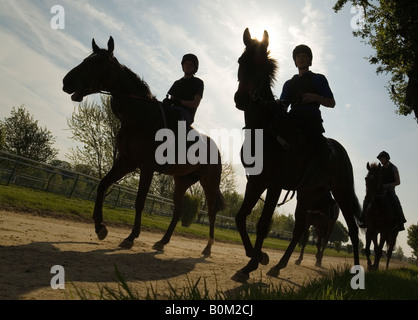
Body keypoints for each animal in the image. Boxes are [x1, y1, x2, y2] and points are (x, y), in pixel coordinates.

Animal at [61, 36, 224, 255]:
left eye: (98, 62)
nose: (67, 82)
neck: (139, 118)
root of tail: (216, 149)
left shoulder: (146, 168)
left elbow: (140, 202)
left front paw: (131, 237)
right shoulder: (126, 162)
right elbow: (102, 185)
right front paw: (100, 227)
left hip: (209, 183)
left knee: (212, 212)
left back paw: (207, 248)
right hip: (181, 181)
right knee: (177, 211)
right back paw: (162, 242)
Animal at [230, 28, 360, 282]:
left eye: (262, 65)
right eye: (241, 61)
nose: (241, 99)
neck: (267, 129)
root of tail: (341, 152)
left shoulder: (274, 185)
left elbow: (263, 224)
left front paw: (252, 264)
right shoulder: (256, 182)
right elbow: (241, 217)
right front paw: (258, 257)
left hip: (342, 192)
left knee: (354, 229)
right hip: (308, 193)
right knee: (300, 229)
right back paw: (279, 265)